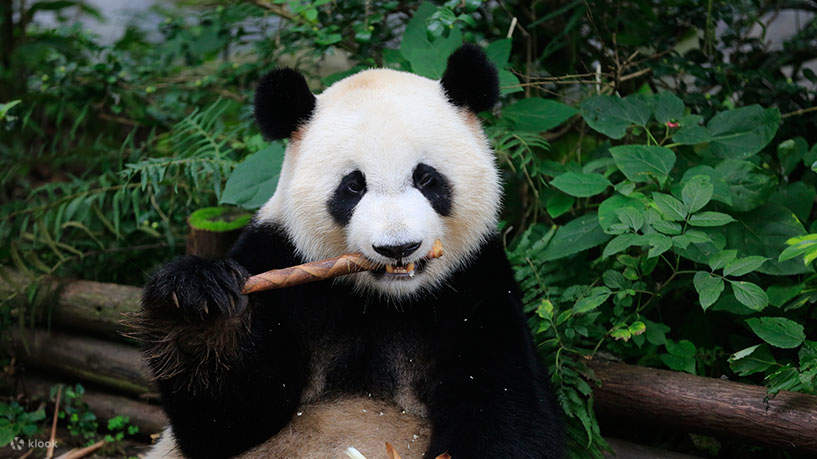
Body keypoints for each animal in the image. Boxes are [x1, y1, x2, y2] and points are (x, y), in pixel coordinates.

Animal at [138, 44, 563, 459]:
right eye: (353, 186)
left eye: (426, 179)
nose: (398, 247)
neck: (384, 300)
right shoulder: (276, 255)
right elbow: (226, 423)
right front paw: (198, 304)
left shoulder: (476, 286)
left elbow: (509, 418)